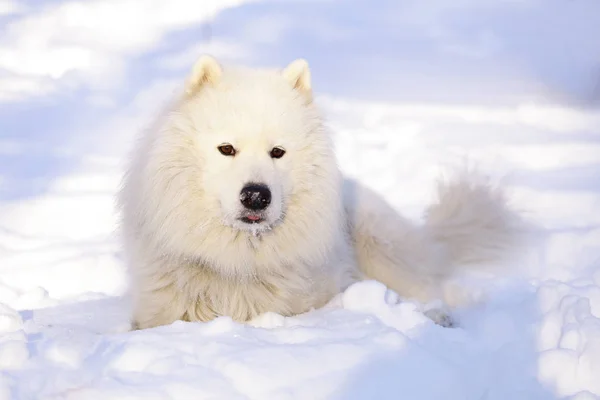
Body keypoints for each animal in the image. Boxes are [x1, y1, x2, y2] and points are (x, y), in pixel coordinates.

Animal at [118, 54, 524, 330]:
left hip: (377, 241)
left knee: (431, 287)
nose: (256, 195)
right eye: (226, 149)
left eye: (277, 152)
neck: (238, 264)